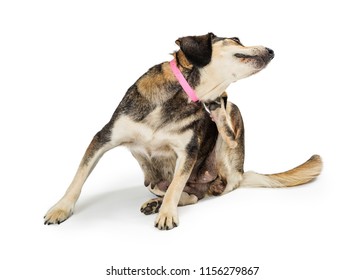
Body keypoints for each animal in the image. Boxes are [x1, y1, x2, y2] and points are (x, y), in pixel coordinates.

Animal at [44, 32, 322, 230]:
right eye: (236, 40)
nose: (272, 51)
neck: (185, 94)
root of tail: (242, 173)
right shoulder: (103, 138)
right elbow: (78, 177)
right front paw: (61, 209)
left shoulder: (188, 151)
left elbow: (177, 185)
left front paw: (167, 214)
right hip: (151, 180)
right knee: (187, 194)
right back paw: (155, 203)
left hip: (231, 139)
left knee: (218, 178)